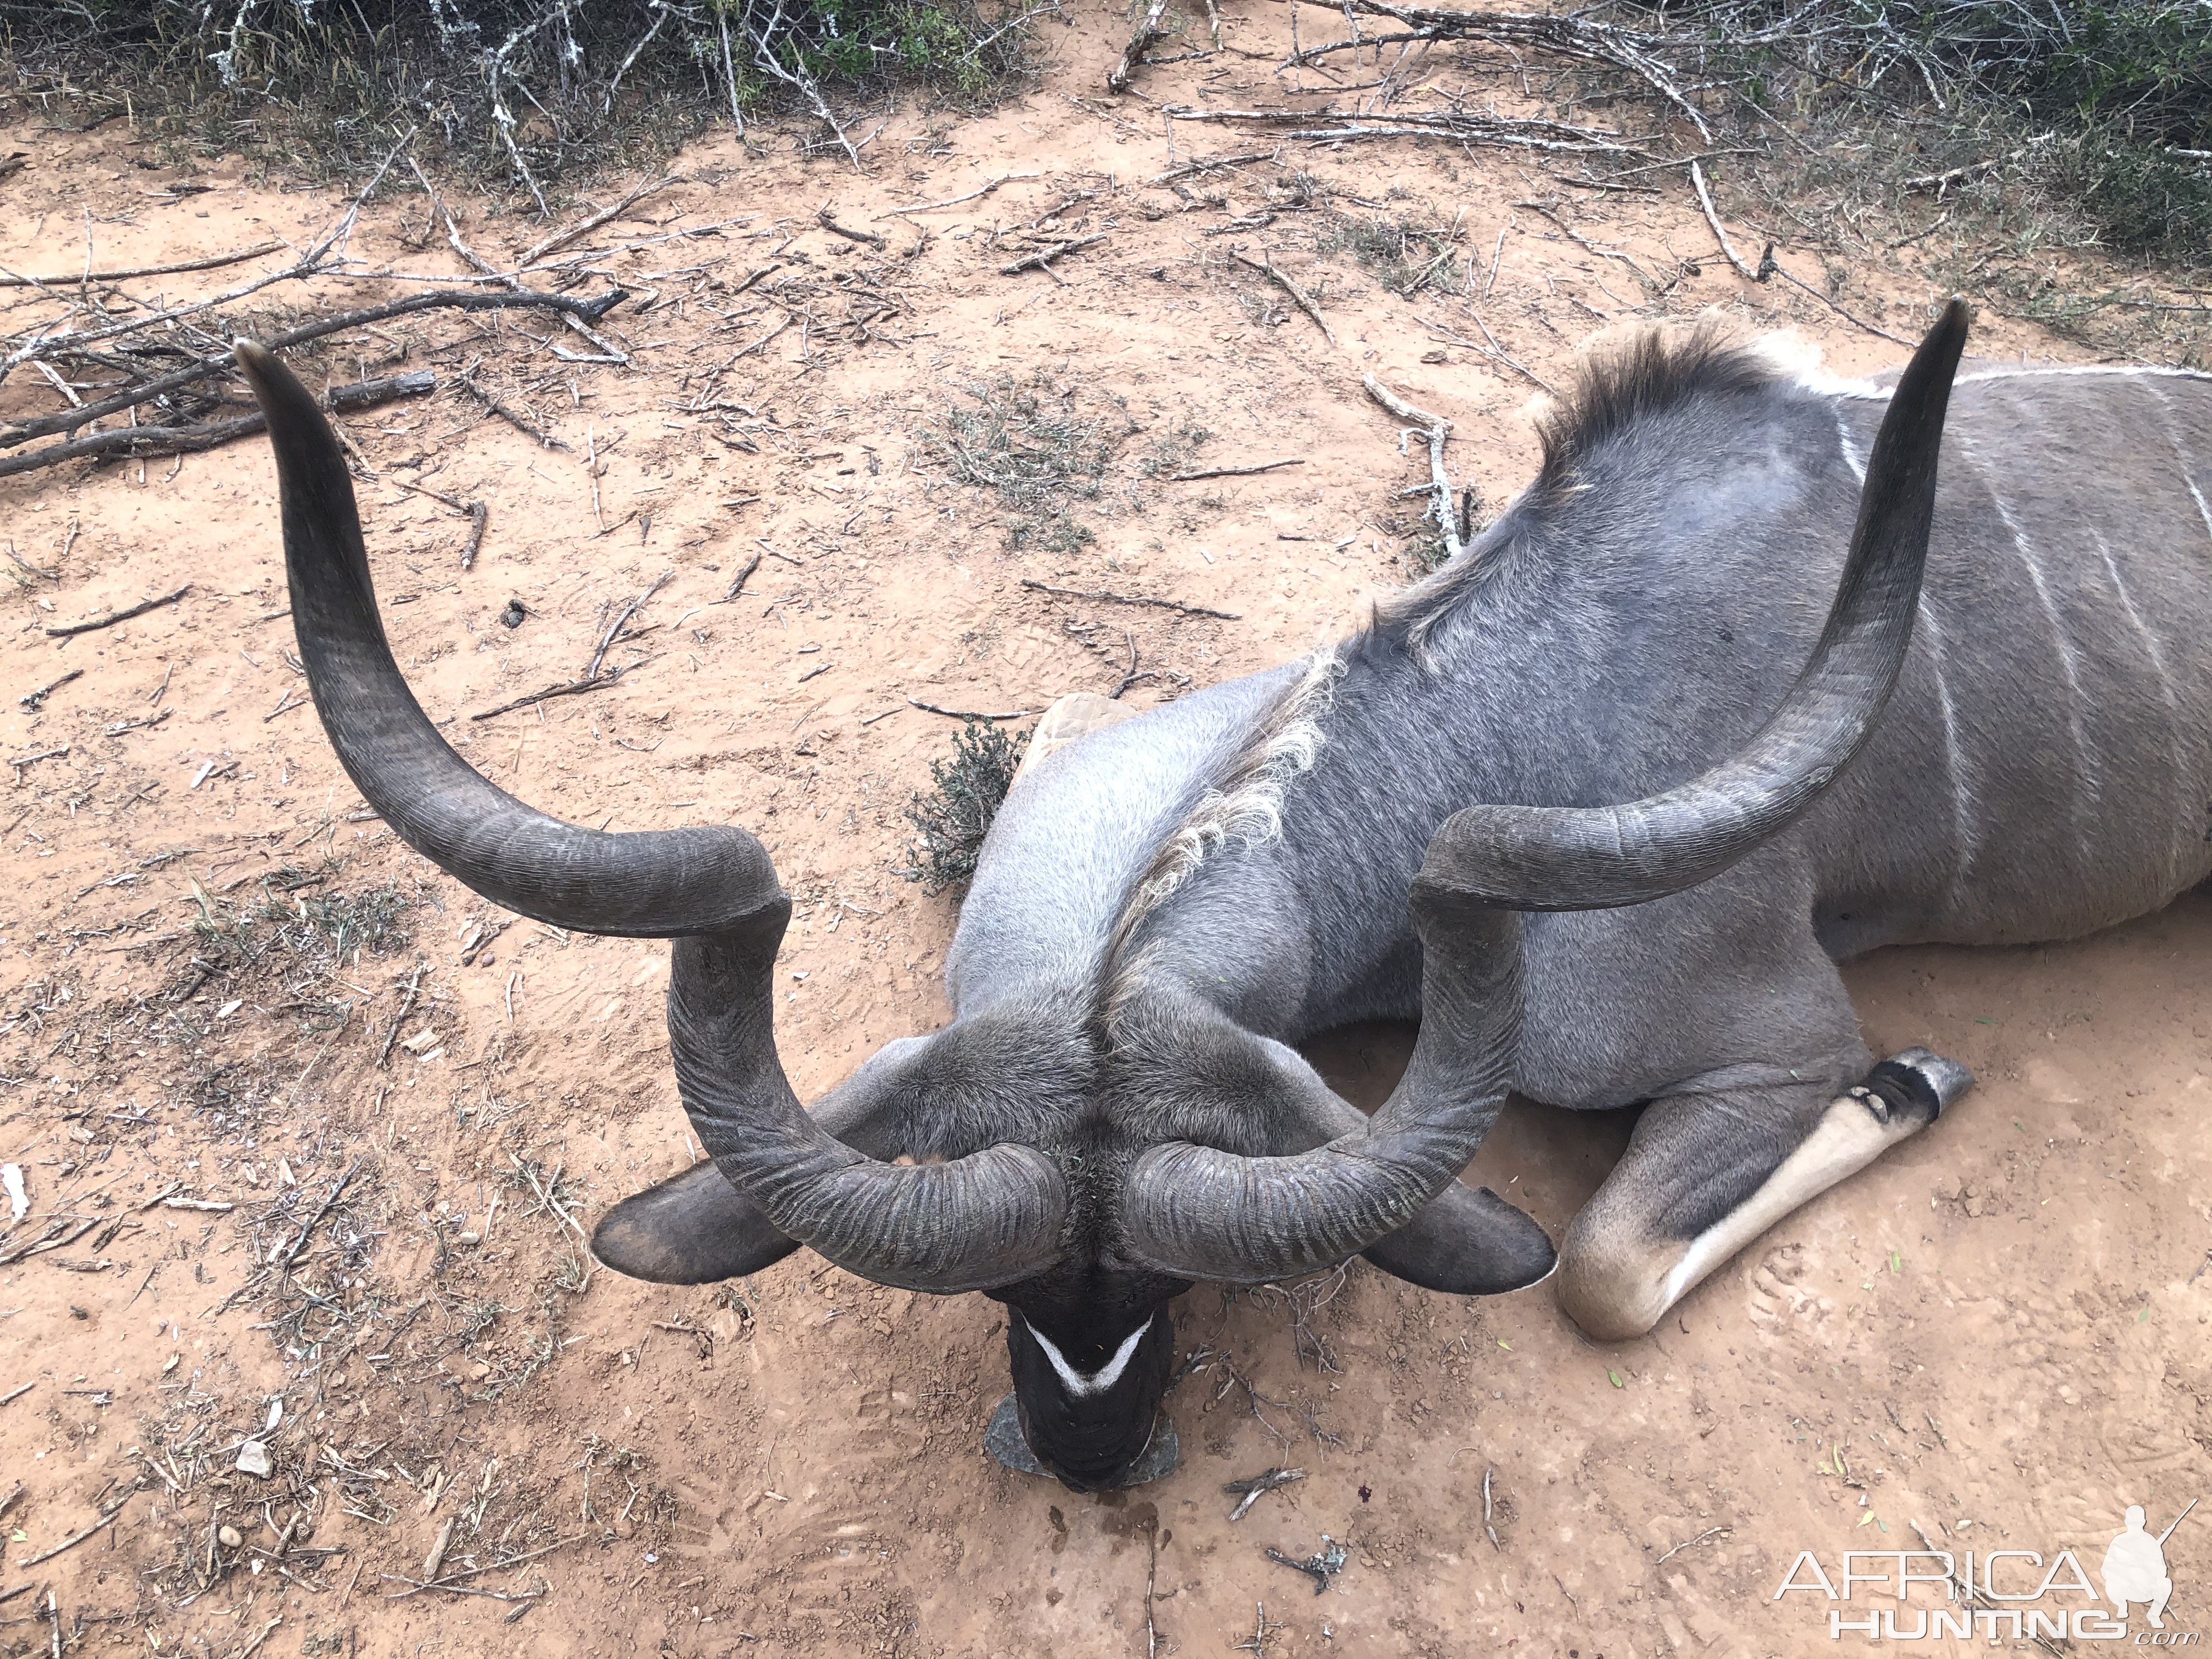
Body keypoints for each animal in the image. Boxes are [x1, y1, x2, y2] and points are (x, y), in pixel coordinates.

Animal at [229, 296, 2212, 1495]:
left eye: (1183, 1293)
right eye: (998, 1290)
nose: (1089, 1453)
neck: (1515, 698)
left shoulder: (1771, 1037)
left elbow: (1604, 1276)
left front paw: (1916, 1078)